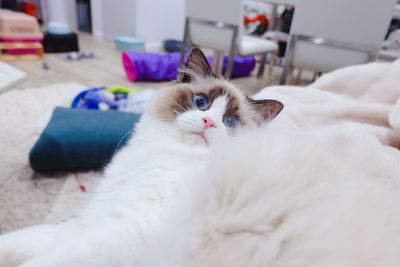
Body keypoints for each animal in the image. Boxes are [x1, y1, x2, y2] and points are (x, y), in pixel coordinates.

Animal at [0, 48, 400, 267]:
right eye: (201, 103)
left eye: (230, 122)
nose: (208, 122)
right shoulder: (90, 223)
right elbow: (21, 242)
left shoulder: (117, 235)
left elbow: (42, 261)